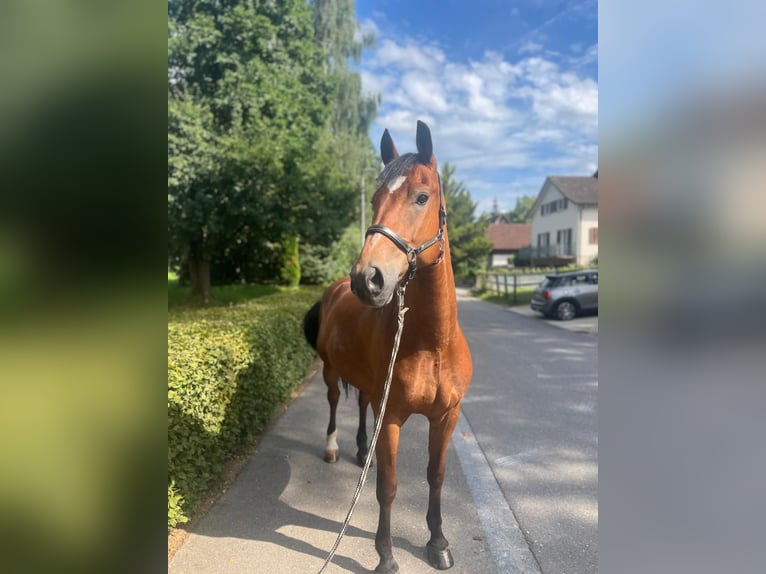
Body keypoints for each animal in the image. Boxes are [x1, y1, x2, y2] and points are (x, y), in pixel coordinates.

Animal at [306, 121, 474, 574]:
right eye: (375, 199)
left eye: (422, 196)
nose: (368, 279)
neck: (431, 346)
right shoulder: (394, 418)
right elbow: (389, 486)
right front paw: (385, 555)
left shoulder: (446, 417)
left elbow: (436, 475)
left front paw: (438, 542)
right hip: (330, 371)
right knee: (333, 402)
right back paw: (333, 447)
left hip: (368, 387)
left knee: (363, 405)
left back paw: (362, 449)